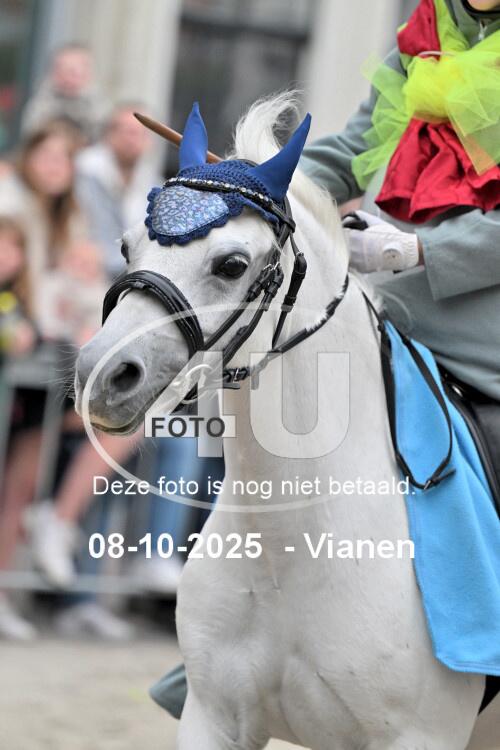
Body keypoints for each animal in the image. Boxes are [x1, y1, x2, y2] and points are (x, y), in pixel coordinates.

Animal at [74, 94, 493, 749]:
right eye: (125, 248)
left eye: (231, 264)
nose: (102, 374)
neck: (289, 547)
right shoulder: (212, 717)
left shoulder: (414, 736)